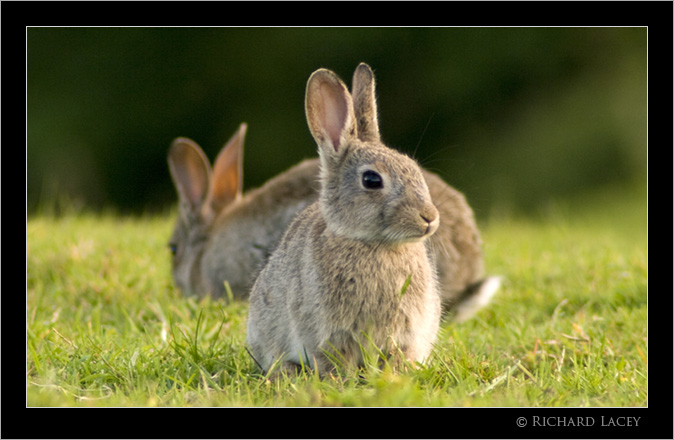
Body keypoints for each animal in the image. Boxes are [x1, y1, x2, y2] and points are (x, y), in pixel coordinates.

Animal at [244, 62, 444, 374]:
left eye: (414, 168)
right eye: (372, 180)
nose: (430, 218)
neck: (374, 245)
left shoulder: (407, 333)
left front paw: (397, 375)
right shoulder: (328, 333)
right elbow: (336, 363)